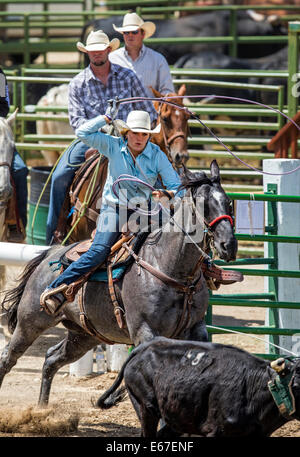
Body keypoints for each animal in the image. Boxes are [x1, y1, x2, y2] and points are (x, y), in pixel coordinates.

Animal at [1, 159, 238, 402]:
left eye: (228, 203)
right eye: (204, 205)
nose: (228, 245)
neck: (170, 268)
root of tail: (50, 253)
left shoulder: (196, 329)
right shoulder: (145, 331)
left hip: (84, 335)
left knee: (50, 359)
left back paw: (42, 408)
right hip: (30, 322)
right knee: (8, 358)